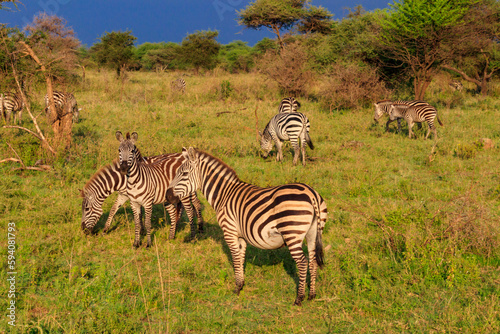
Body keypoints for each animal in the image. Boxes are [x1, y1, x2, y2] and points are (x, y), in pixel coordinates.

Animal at [165, 147, 328, 306]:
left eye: (184, 174)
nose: (167, 196)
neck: (224, 195)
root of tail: (311, 194)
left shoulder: (229, 231)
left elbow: (235, 258)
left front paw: (237, 288)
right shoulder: (241, 235)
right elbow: (241, 257)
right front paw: (241, 284)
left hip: (292, 233)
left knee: (303, 262)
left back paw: (299, 298)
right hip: (313, 233)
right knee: (313, 261)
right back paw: (312, 295)